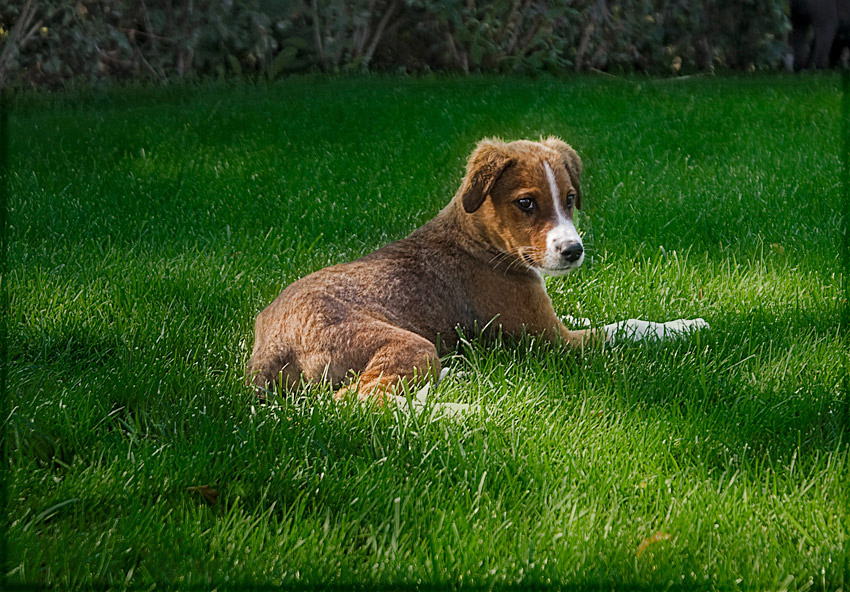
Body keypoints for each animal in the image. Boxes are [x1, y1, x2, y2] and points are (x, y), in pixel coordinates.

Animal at [248, 136, 704, 400]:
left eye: (571, 198)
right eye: (526, 203)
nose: (573, 251)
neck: (479, 241)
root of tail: (267, 351)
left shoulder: (544, 318)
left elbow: (594, 316)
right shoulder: (553, 341)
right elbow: (625, 327)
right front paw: (686, 326)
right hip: (406, 343)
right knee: (361, 400)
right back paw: (457, 411)